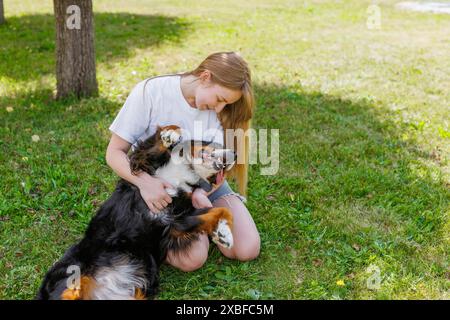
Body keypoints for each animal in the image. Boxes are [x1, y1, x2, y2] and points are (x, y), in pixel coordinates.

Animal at [36, 125, 236, 300]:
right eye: (216, 144)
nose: (235, 154)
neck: (183, 172)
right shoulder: (142, 163)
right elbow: (153, 145)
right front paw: (170, 134)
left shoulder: (176, 221)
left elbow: (221, 209)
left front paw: (224, 232)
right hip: (71, 274)